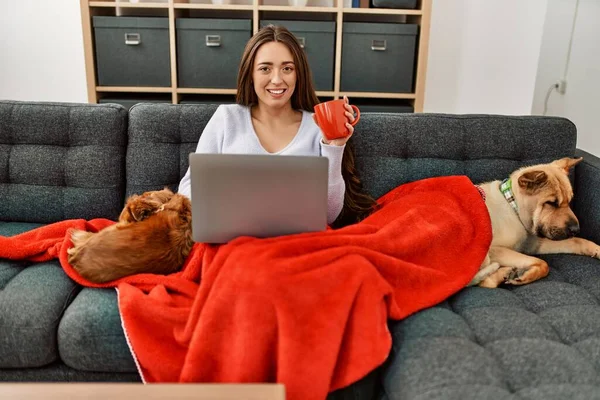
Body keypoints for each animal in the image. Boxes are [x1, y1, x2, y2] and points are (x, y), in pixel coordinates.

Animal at [468, 157, 600, 288]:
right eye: (551, 203)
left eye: (570, 200)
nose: (576, 230)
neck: (514, 207)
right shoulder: (493, 249)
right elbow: (542, 263)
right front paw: (526, 275)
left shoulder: (534, 243)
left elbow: (576, 241)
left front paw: (596, 249)